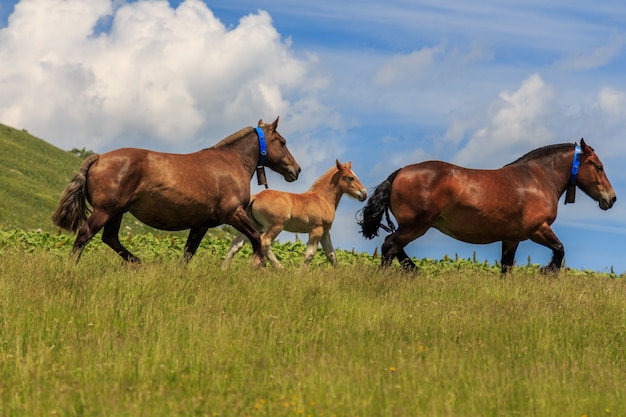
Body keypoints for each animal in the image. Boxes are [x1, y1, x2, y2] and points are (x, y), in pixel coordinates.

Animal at [51, 116, 300, 266]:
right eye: (283, 142)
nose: (296, 170)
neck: (231, 162)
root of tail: (99, 158)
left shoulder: (201, 224)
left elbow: (188, 254)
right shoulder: (234, 214)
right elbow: (257, 238)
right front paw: (259, 265)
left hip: (116, 212)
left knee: (110, 238)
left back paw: (138, 264)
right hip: (105, 211)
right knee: (84, 235)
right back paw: (72, 267)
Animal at [222, 158, 366, 268]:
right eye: (351, 178)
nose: (364, 194)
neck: (322, 199)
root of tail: (256, 196)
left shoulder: (325, 232)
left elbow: (331, 255)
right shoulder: (316, 230)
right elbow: (310, 254)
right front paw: (299, 274)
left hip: (255, 224)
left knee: (237, 243)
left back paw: (224, 268)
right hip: (276, 226)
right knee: (264, 242)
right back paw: (279, 268)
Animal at [356, 140, 616, 272]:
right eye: (599, 166)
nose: (611, 199)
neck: (537, 179)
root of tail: (400, 173)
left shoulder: (511, 238)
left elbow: (506, 268)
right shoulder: (538, 229)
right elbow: (560, 249)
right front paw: (548, 271)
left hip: (412, 227)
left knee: (395, 248)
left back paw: (414, 271)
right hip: (416, 226)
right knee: (390, 246)